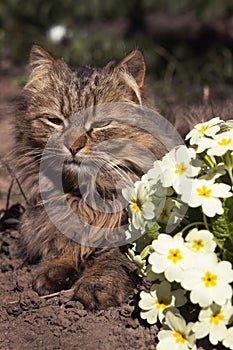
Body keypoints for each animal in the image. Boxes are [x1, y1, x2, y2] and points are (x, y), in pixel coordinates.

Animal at [15, 45, 171, 308]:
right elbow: (63, 245)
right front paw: (52, 272)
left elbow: (112, 259)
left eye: (101, 124)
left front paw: (95, 287)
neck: (87, 196)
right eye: (55, 121)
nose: (73, 147)